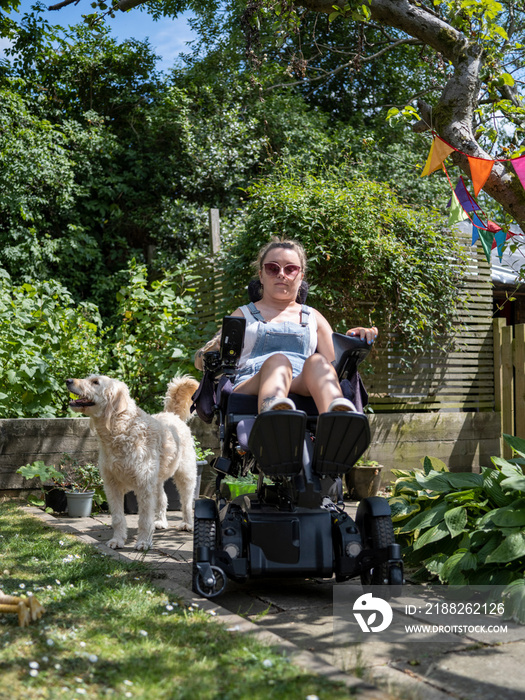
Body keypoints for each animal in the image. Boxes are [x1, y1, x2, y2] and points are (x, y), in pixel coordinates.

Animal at [64, 374, 199, 548]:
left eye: (95, 382)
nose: (68, 381)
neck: (120, 430)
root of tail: (172, 415)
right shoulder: (112, 485)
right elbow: (117, 518)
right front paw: (117, 540)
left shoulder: (144, 485)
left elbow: (144, 519)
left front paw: (143, 542)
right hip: (157, 480)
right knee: (163, 498)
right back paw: (161, 521)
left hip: (185, 475)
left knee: (187, 502)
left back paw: (187, 523)